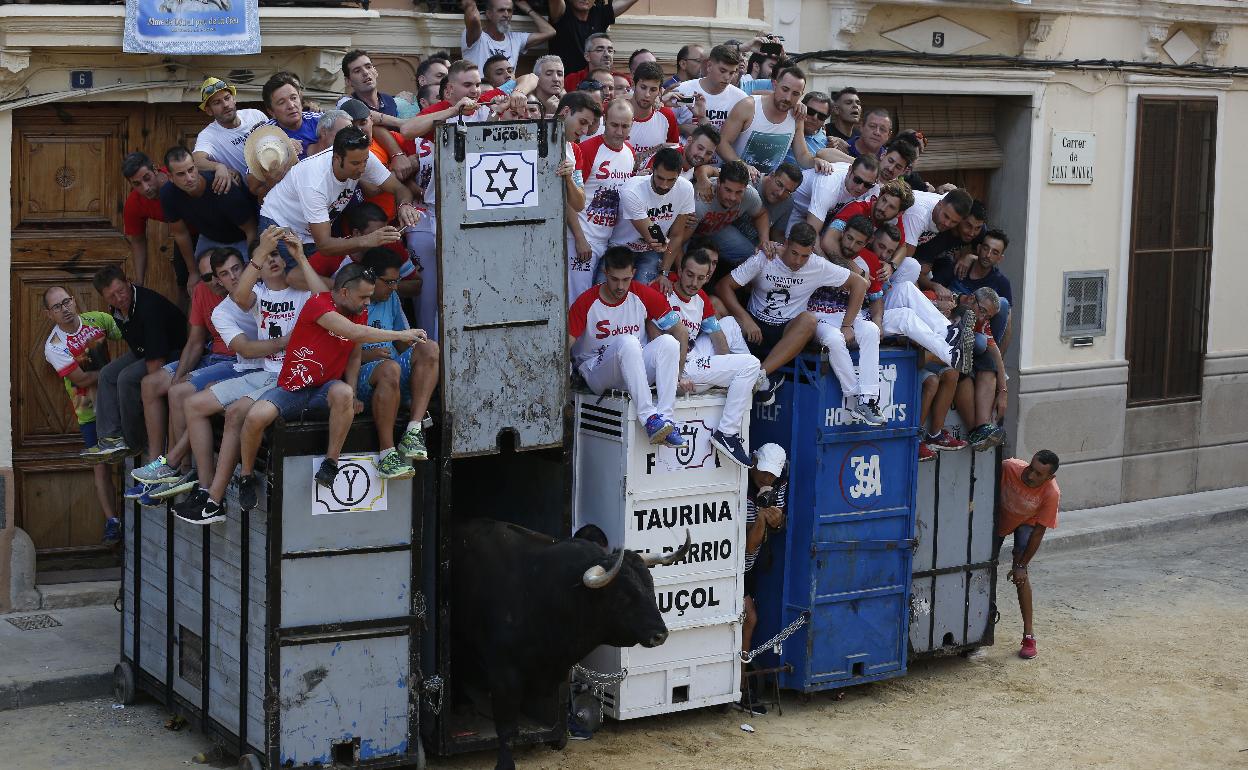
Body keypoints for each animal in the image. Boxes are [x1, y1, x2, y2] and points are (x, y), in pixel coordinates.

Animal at [456, 516, 698, 768]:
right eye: (623, 595)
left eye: (650, 586)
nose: (660, 634)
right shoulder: (503, 674)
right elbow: (506, 727)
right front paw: (505, 763)